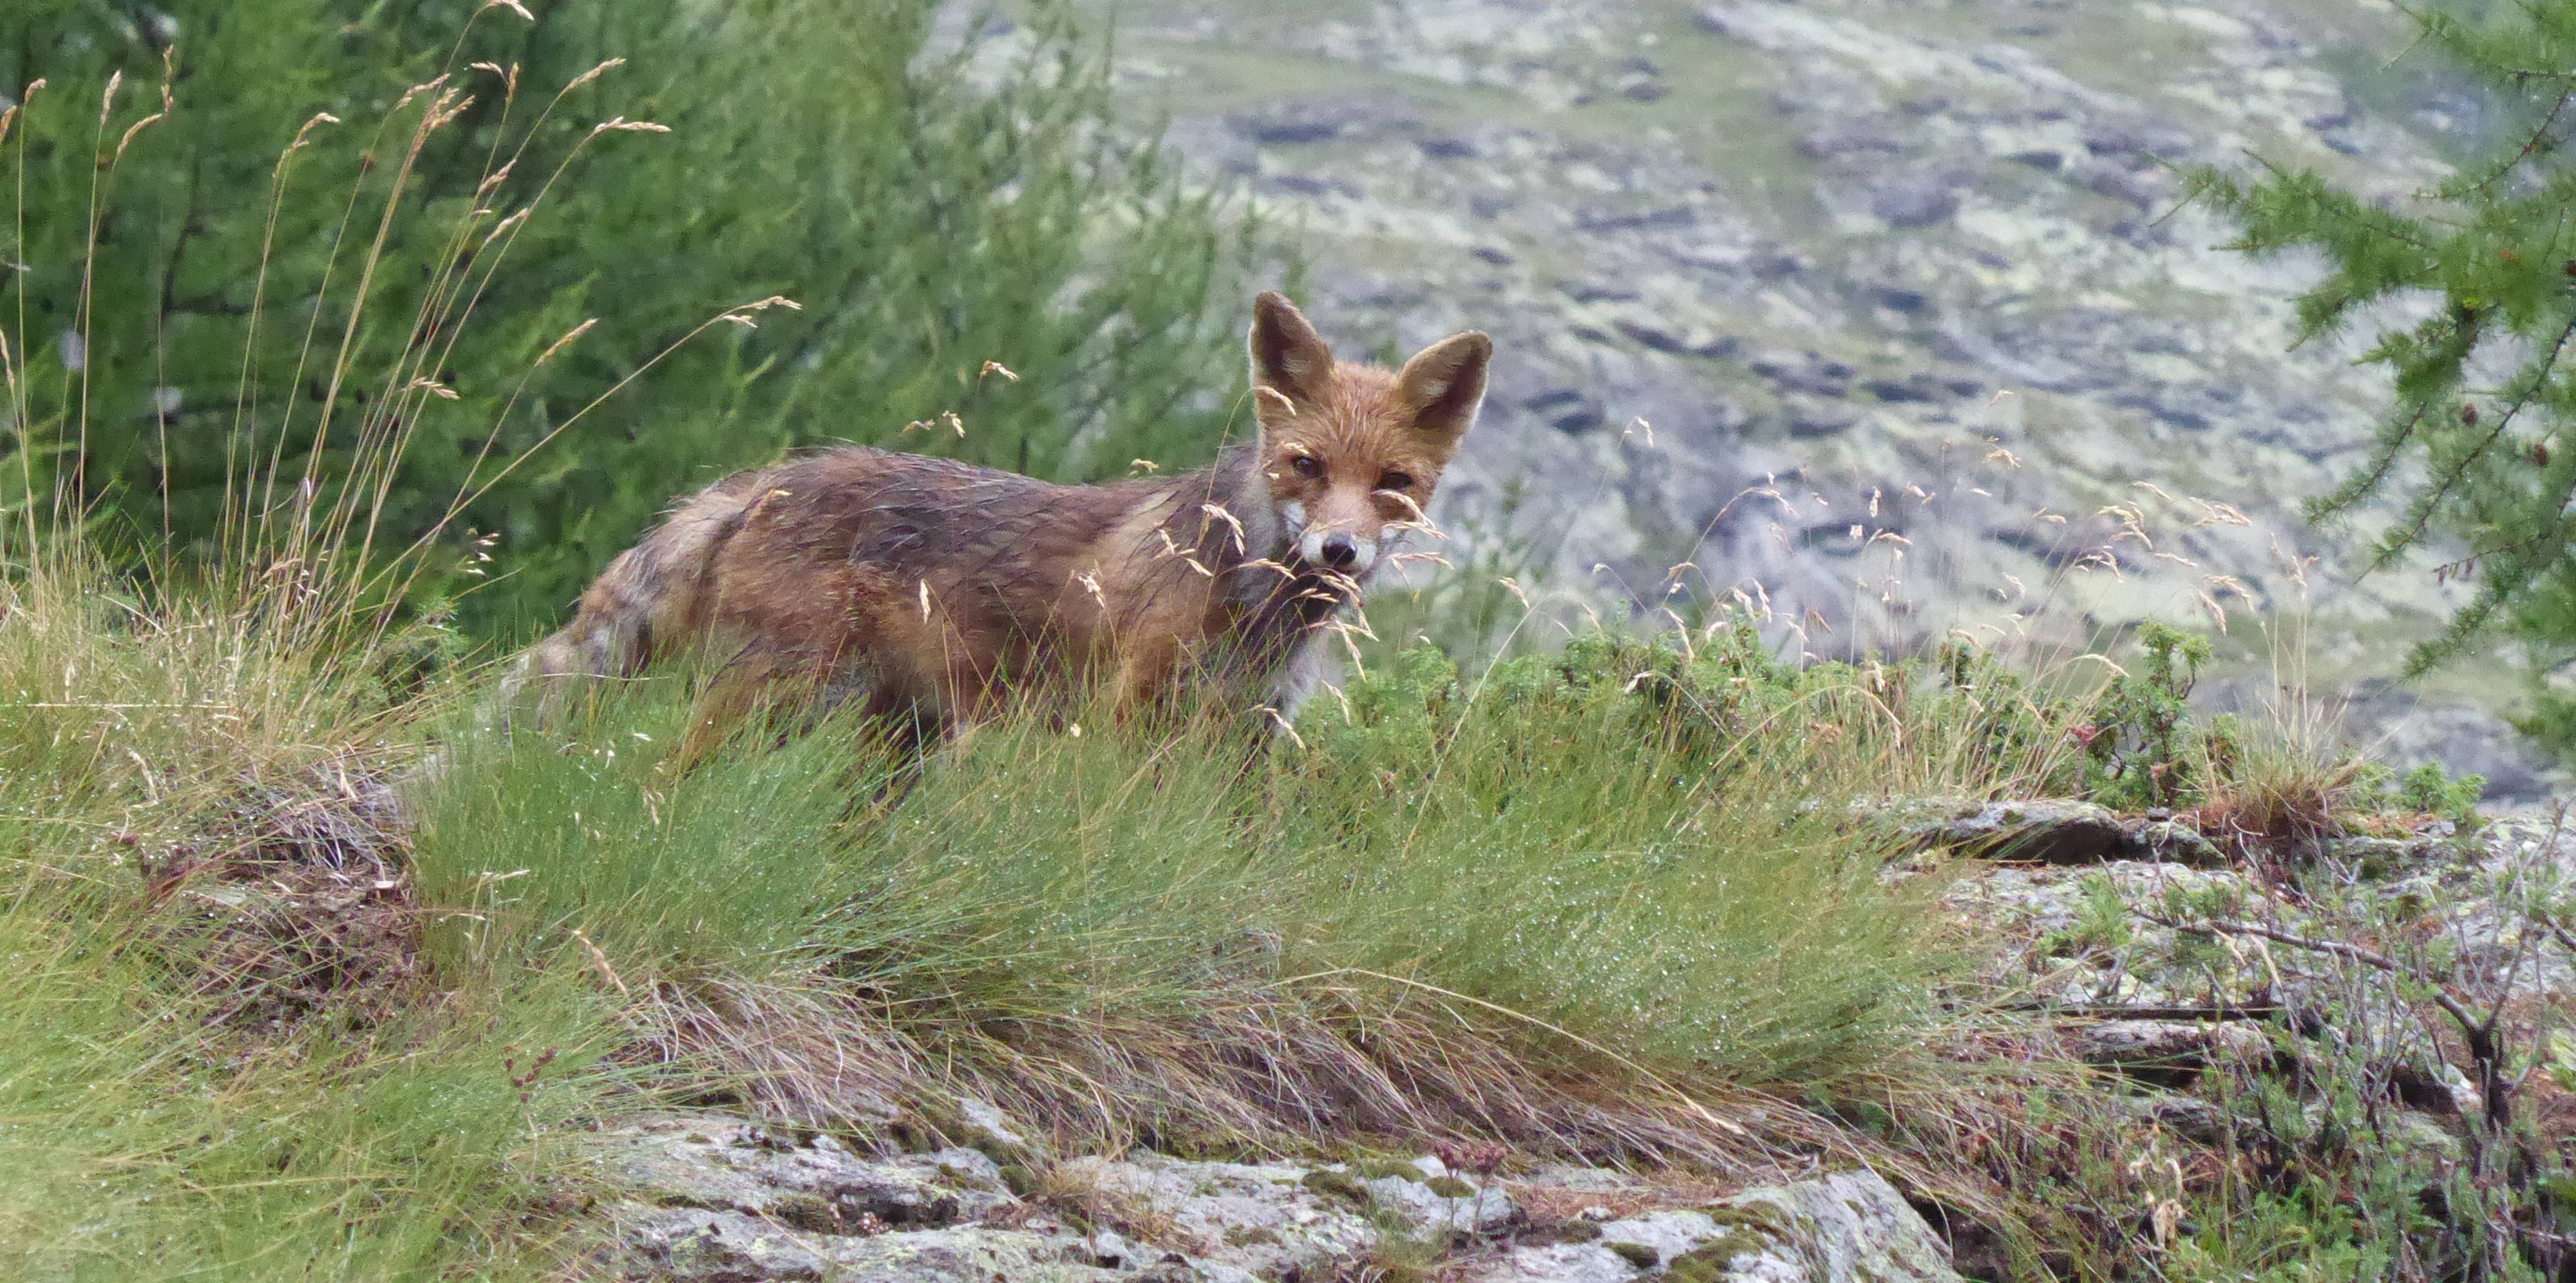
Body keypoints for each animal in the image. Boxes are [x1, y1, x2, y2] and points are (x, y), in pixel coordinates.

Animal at [507, 291, 1492, 763]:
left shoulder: (1250, 731)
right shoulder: (1126, 711)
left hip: (896, 736)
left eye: (1393, 486)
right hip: (779, 702)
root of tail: (767, 480)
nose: (1338, 549)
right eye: (1307, 466)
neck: (1254, 605)